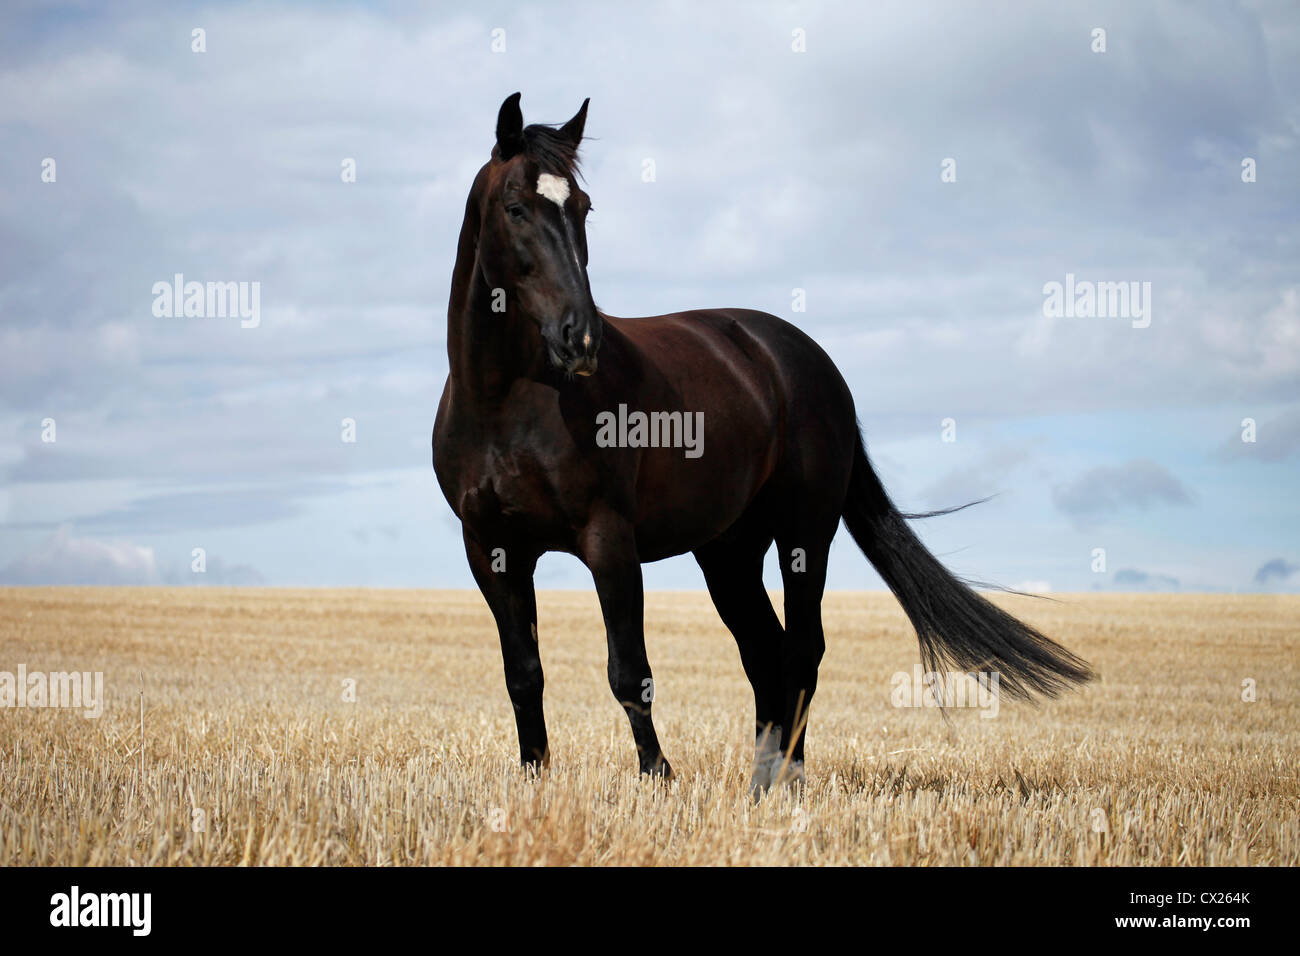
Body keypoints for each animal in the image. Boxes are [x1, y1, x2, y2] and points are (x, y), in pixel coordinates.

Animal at [432, 93, 1094, 791]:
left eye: (582, 207)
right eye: (516, 207)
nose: (580, 338)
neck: (507, 401)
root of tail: (807, 360)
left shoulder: (608, 539)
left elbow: (628, 671)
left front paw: (658, 778)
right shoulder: (493, 551)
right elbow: (523, 676)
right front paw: (536, 781)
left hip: (804, 533)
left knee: (801, 649)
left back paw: (786, 784)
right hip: (729, 551)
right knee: (763, 651)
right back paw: (762, 782)